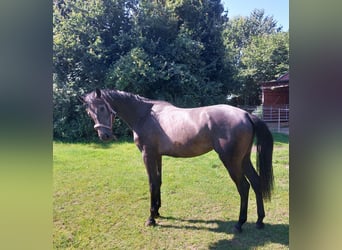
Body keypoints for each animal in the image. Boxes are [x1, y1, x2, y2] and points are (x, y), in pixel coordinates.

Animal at [81, 88, 274, 232]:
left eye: (102, 108)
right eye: (89, 112)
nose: (104, 136)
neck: (145, 115)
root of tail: (246, 115)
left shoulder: (147, 155)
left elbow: (151, 183)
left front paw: (151, 218)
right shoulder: (157, 156)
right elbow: (158, 182)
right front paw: (157, 212)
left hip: (231, 161)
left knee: (244, 187)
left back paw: (239, 223)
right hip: (244, 159)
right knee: (256, 182)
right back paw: (260, 220)